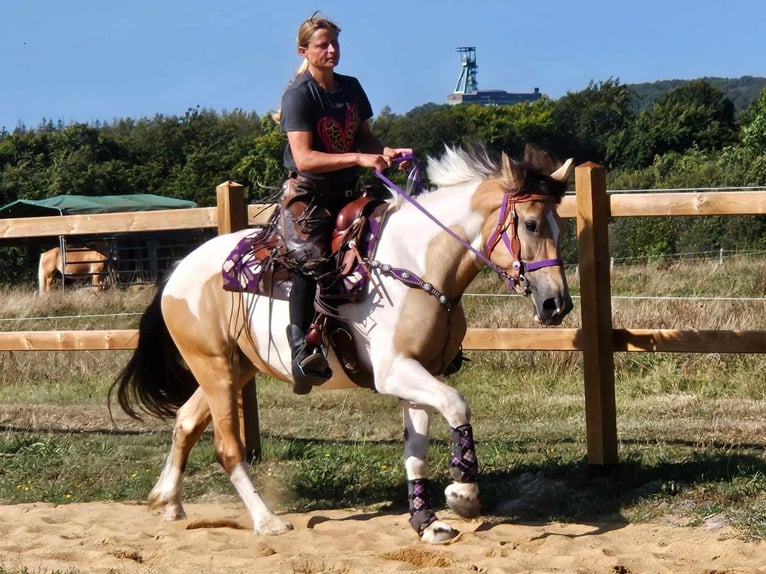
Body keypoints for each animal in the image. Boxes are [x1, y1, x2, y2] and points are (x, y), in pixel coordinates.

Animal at [109, 144, 576, 544]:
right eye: (530, 224)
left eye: (559, 225)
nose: (557, 304)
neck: (417, 265)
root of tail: (176, 271)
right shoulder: (395, 372)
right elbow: (457, 405)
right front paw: (463, 494)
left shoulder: (419, 374)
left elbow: (416, 452)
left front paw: (427, 523)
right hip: (215, 369)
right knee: (227, 447)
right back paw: (266, 520)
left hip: (233, 369)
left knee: (186, 422)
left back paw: (167, 502)